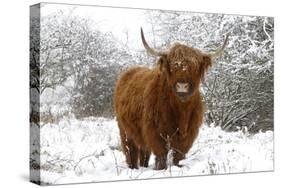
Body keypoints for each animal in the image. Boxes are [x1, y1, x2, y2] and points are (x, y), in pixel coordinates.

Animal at [112, 28, 229, 170]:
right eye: (173, 67)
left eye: (194, 67)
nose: (182, 86)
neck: (181, 111)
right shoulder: (155, 133)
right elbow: (161, 156)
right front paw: (160, 169)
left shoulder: (188, 135)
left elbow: (178, 156)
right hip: (125, 130)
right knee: (130, 150)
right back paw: (133, 168)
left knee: (144, 152)